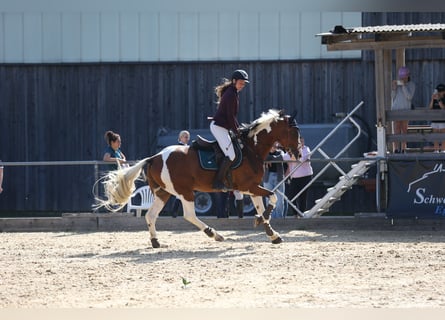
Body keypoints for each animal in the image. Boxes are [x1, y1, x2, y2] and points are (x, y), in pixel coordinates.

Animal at [95, 110, 300, 248]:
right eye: (294, 132)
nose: (298, 153)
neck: (251, 149)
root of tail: (155, 157)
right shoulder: (248, 186)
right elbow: (273, 197)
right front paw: (261, 222)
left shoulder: (253, 187)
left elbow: (263, 207)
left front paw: (272, 234)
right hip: (184, 191)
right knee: (189, 215)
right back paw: (214, 234)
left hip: (163, 193)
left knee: (150, 215)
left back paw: (156, 241)